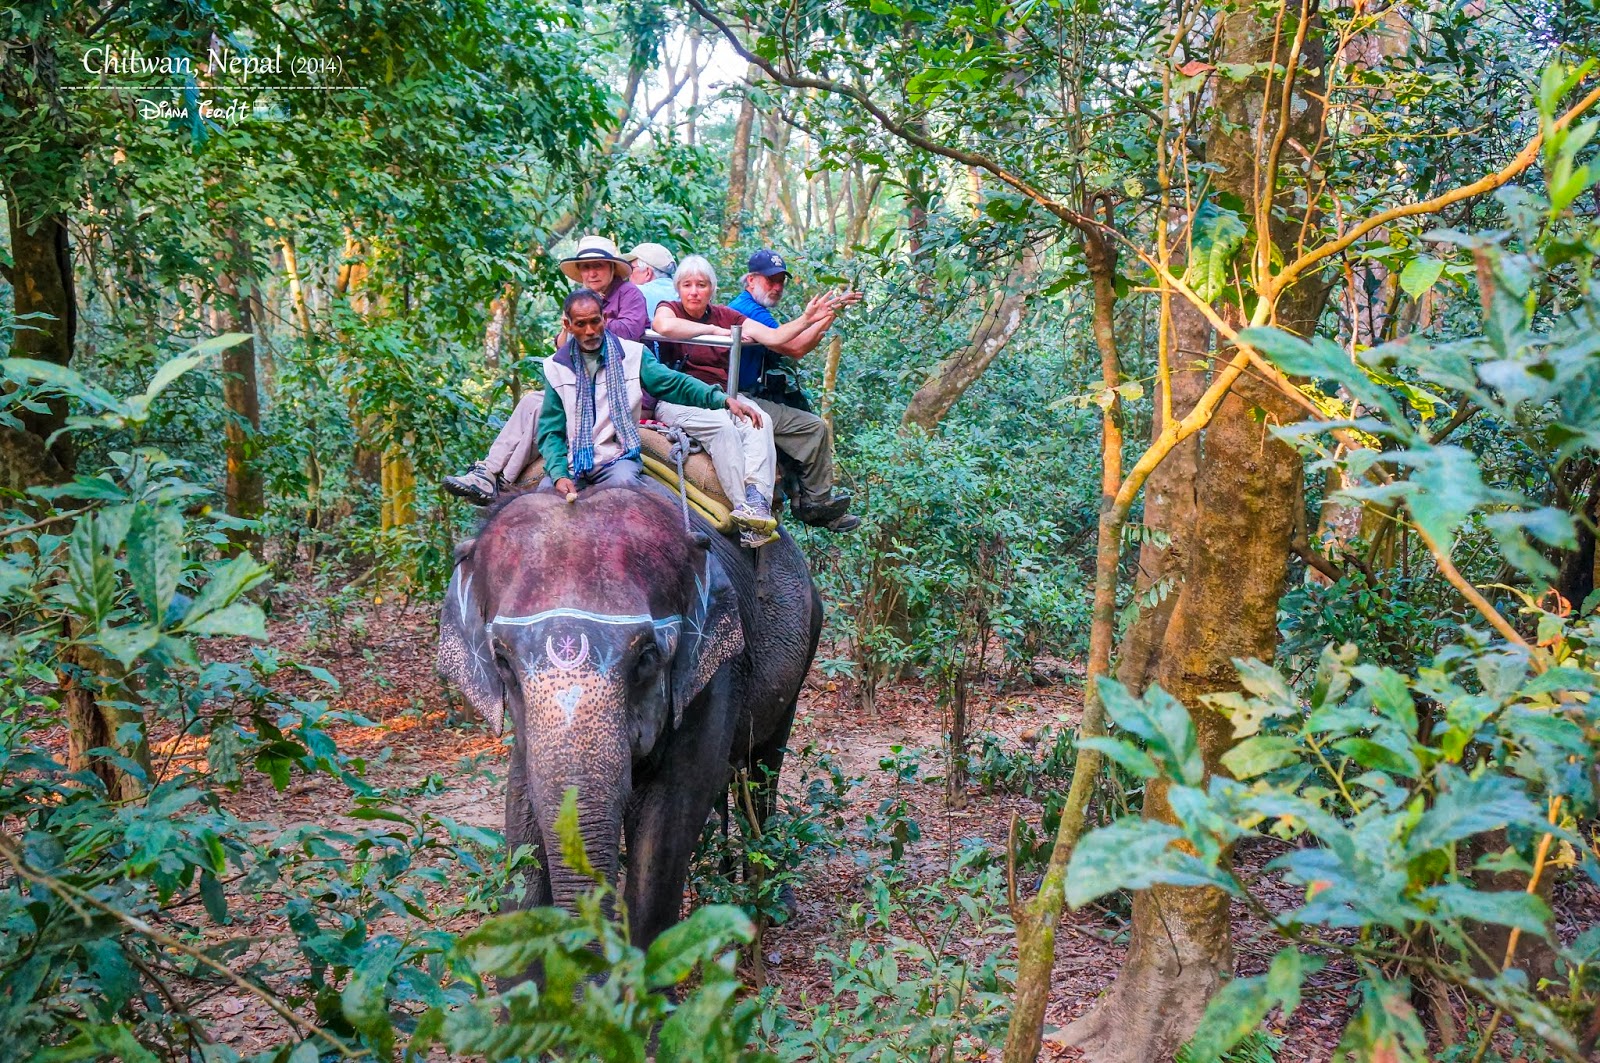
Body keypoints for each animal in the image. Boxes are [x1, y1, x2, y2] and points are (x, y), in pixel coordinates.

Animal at [437, 480, 822, 945]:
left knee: (764, 763)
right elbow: (523, 802)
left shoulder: (714, 671)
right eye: (502, 660)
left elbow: (673, 808)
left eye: (646, 656)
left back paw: (770, 903)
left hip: (806, 643)